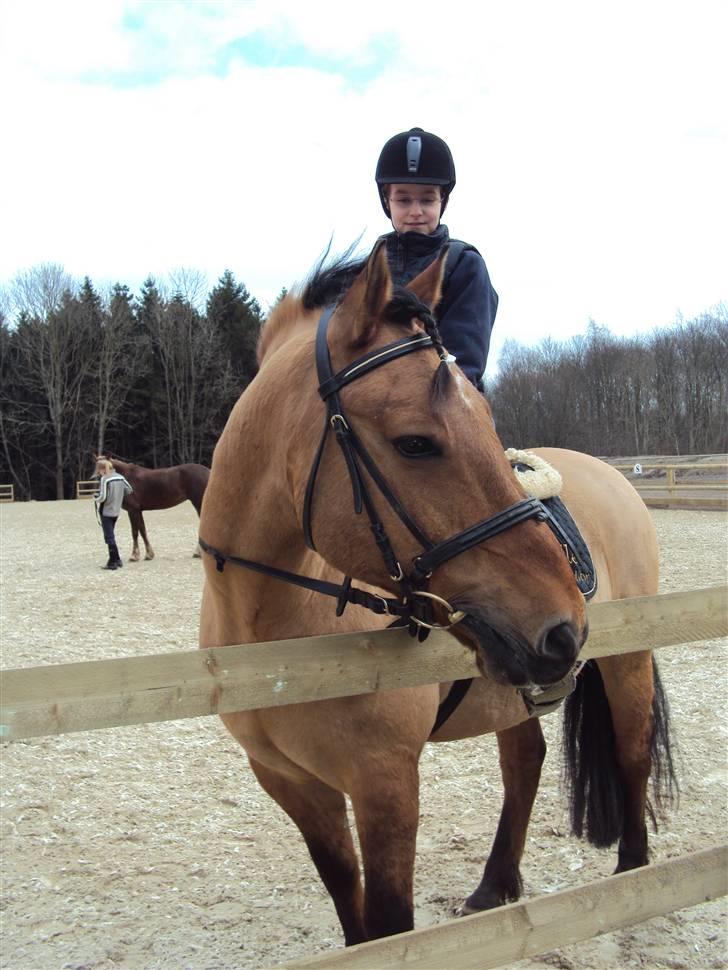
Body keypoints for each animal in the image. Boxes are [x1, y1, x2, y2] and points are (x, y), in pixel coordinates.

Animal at [198, 241, 676, 946]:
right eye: (415, 442)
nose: (563, 626)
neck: (277, 638)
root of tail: (611, 475)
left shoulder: (386, 783)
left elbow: (391, 926)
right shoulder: (294, 785)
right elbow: (352, 913)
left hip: (625, 663)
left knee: (631, 752)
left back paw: (633, 880)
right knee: (525, 761)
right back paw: (495, 887)